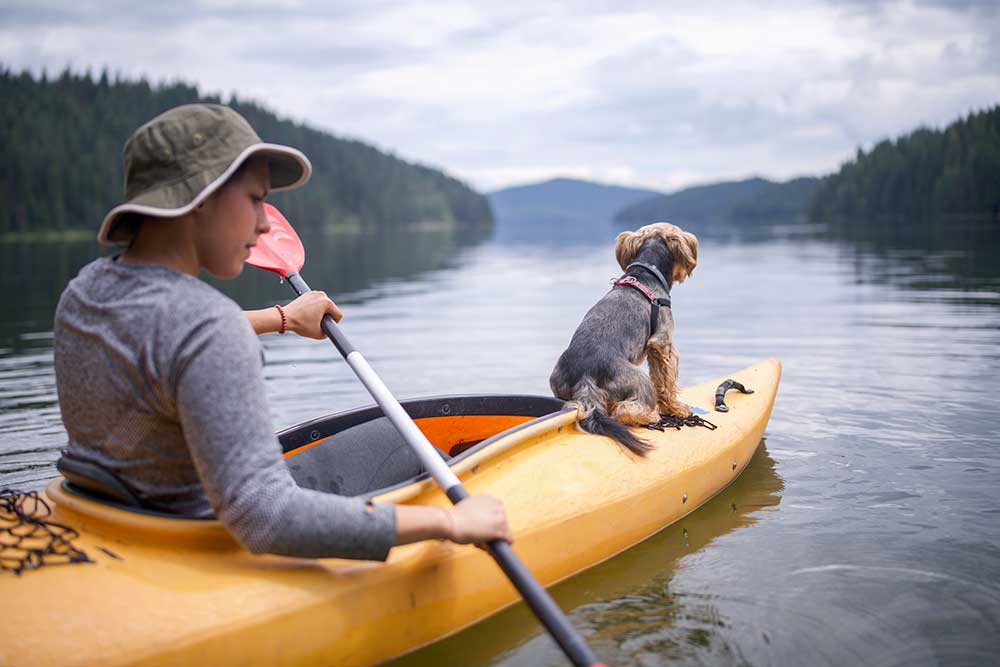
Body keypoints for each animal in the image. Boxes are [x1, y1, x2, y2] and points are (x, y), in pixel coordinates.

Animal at [552, 223, 700, 454]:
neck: (646, 274)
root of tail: (586, 377)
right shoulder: (662, 342)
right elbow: (665, 382)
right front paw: (676, 408)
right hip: (639, 381)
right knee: (624, 410)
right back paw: (651, 415)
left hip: (557, 380)